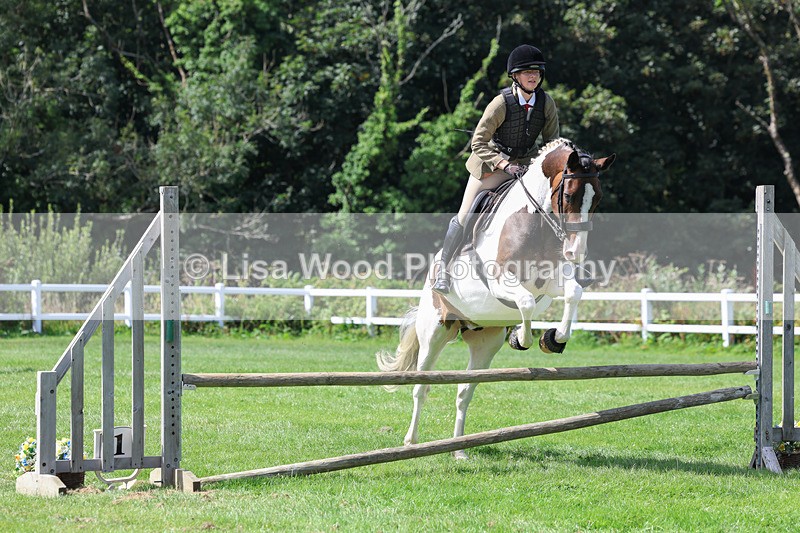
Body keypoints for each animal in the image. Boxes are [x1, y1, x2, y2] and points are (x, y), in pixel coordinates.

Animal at [377, 138, 615, 458]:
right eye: (569, 195)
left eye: (597, 199)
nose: (575, 253)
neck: (536, 224)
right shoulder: (501, 282)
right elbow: (525, 302)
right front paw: (522, 339)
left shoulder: (548, 283)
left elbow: (572, 294)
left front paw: (553, 339)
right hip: (435, 332)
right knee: (421, 387)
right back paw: (411, 441)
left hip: (485, 343)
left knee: (464, 392)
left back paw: (459, 449)